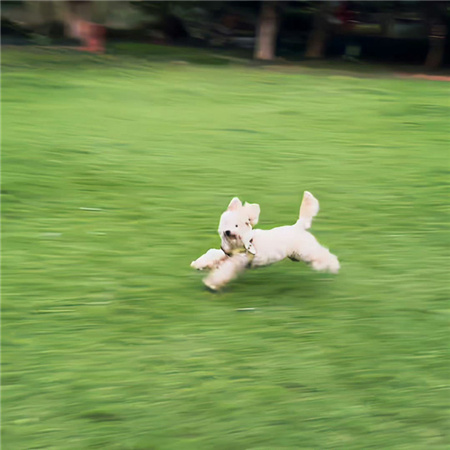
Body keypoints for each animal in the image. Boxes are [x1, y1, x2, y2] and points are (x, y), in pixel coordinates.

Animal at [191, 192, 342, 290]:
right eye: (226, 223)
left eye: (236, 226)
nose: (228, 231)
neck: (240, 244)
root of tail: (298, 226)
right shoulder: (225, 253)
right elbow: (213, 255)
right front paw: (198, 264)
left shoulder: (238, 260)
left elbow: (224, 270)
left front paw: (211, 283)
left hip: (306, 250)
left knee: (323, 255)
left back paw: (333, 266)